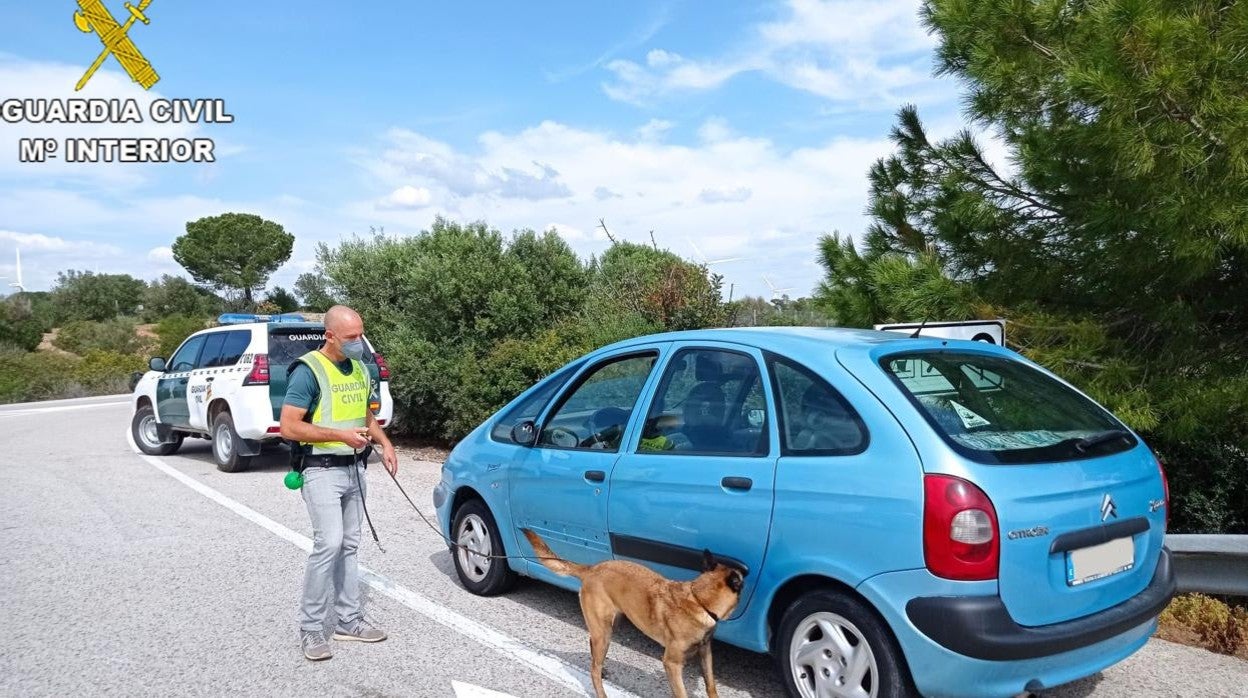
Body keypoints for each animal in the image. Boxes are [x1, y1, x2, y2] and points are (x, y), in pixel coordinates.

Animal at [521, 529, 743, 698]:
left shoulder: (705, 652)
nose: (747, 572)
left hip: (609, 627)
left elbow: (711, 684)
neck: (699, 600)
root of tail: (591, 569)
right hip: (604, 632)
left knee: (593, 652)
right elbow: (682, 693)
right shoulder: (672, 663)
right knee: (593, 669)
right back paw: (600, 689)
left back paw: (602, 668)